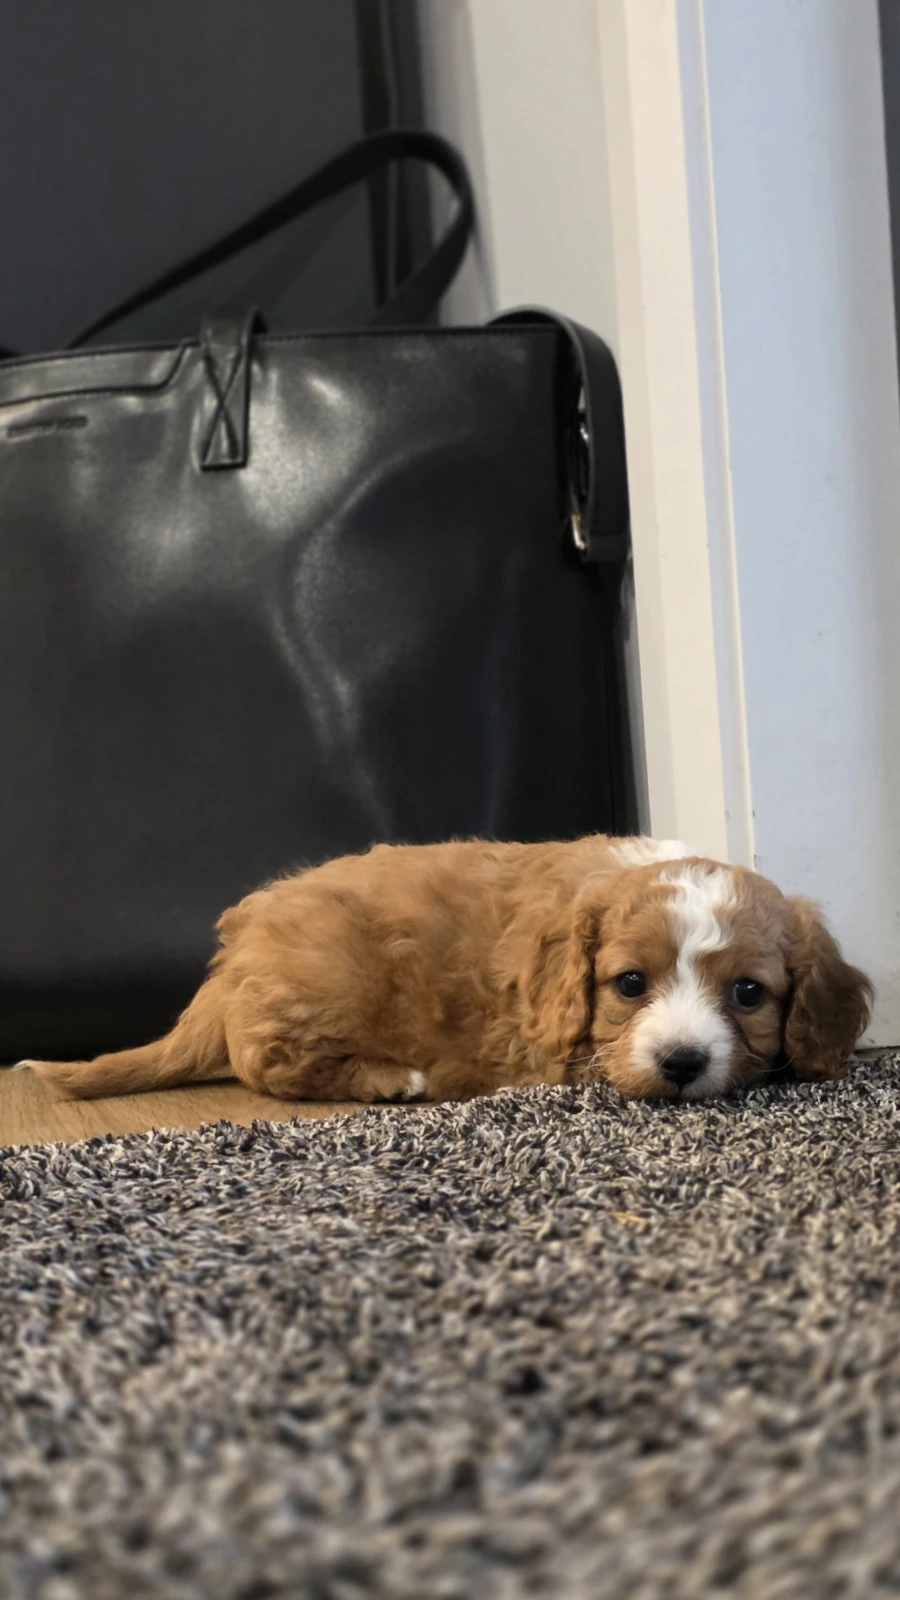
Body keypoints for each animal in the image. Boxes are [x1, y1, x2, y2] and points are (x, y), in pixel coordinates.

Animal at [26, 835, 872, 1105]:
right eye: (631, 985)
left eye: (749, 994)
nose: (683, 1062)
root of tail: (232, 962)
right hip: (323, 984)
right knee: (268, 1065)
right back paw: (392, 1078)